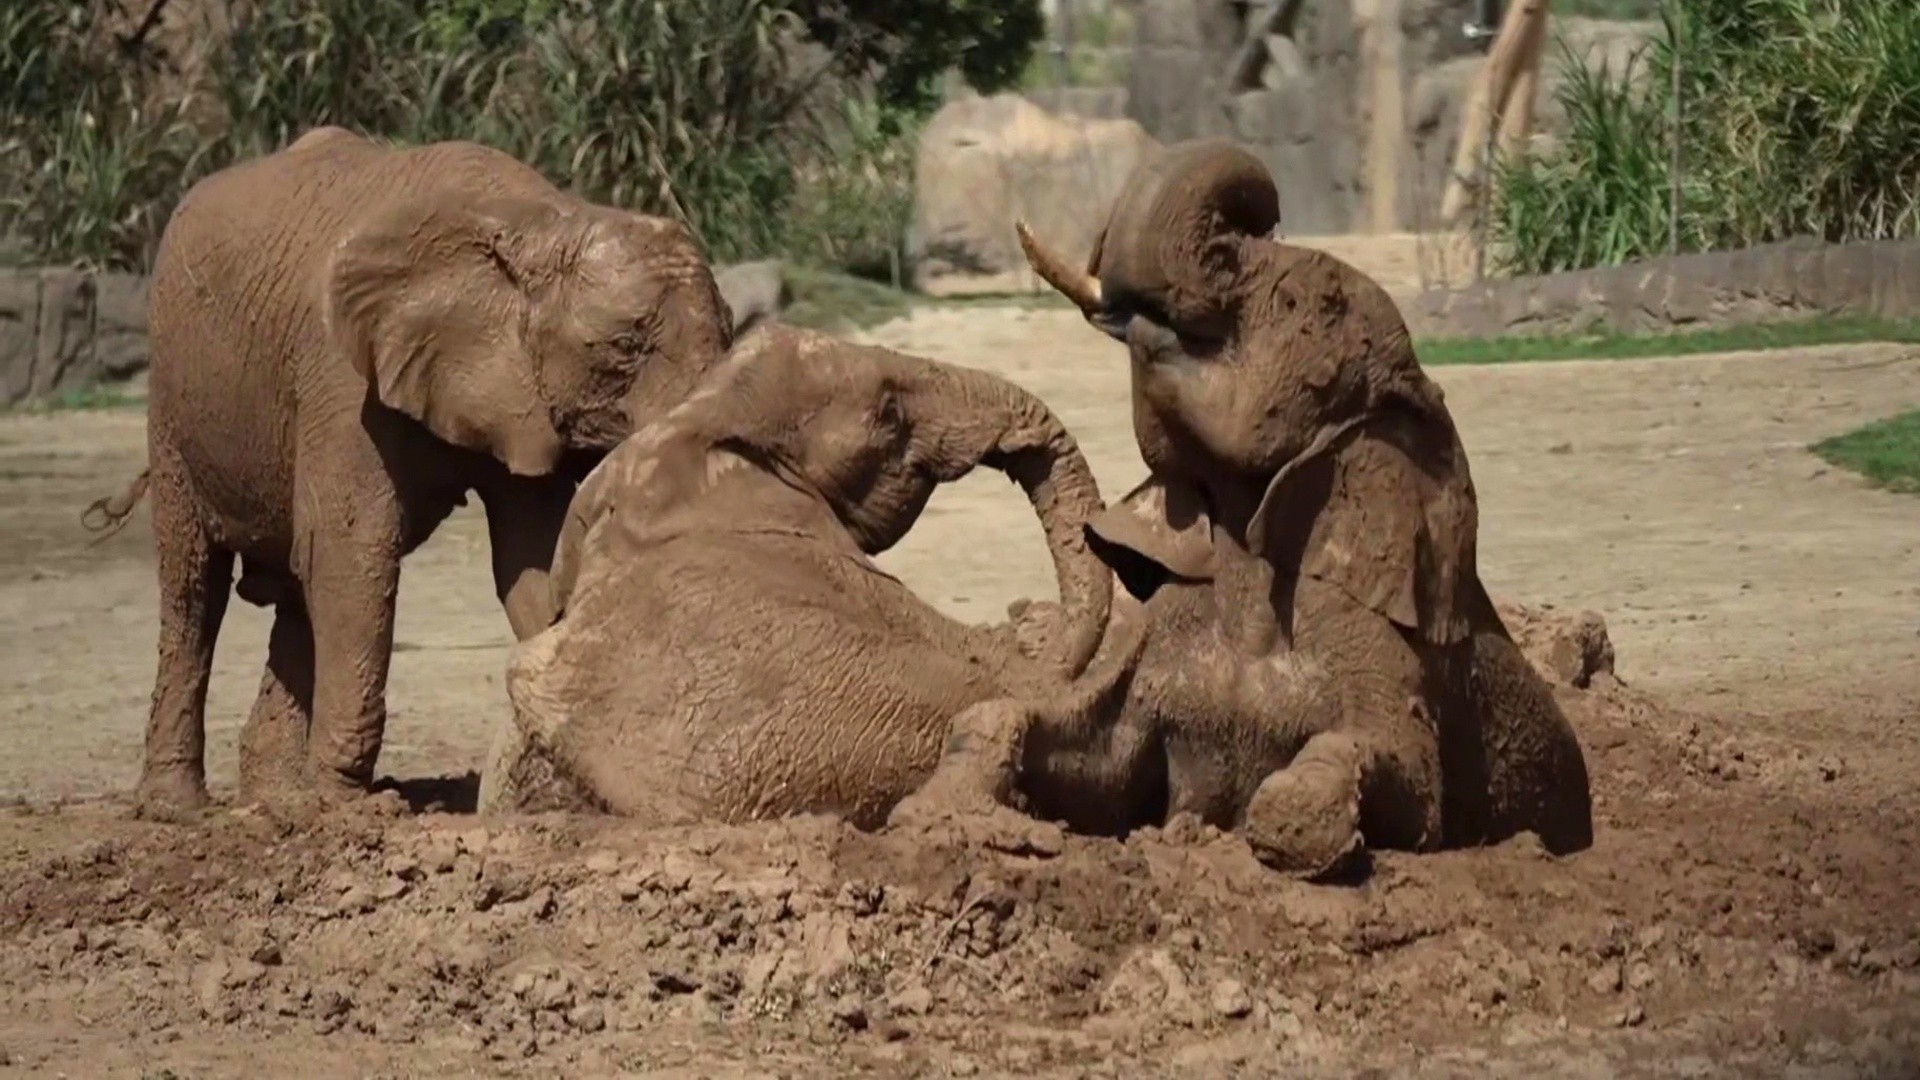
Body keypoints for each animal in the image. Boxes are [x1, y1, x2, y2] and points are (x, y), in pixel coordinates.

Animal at [87, 127, 733, 815]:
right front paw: (348, 810)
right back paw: (177, 806)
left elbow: (531, 554)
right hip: (173, 399)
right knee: (195, 587)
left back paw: (276, 800)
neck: (539, 221)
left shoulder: (519, 393)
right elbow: (353, 549)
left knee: (293, 590)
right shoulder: (341, 380)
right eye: (624, 348)